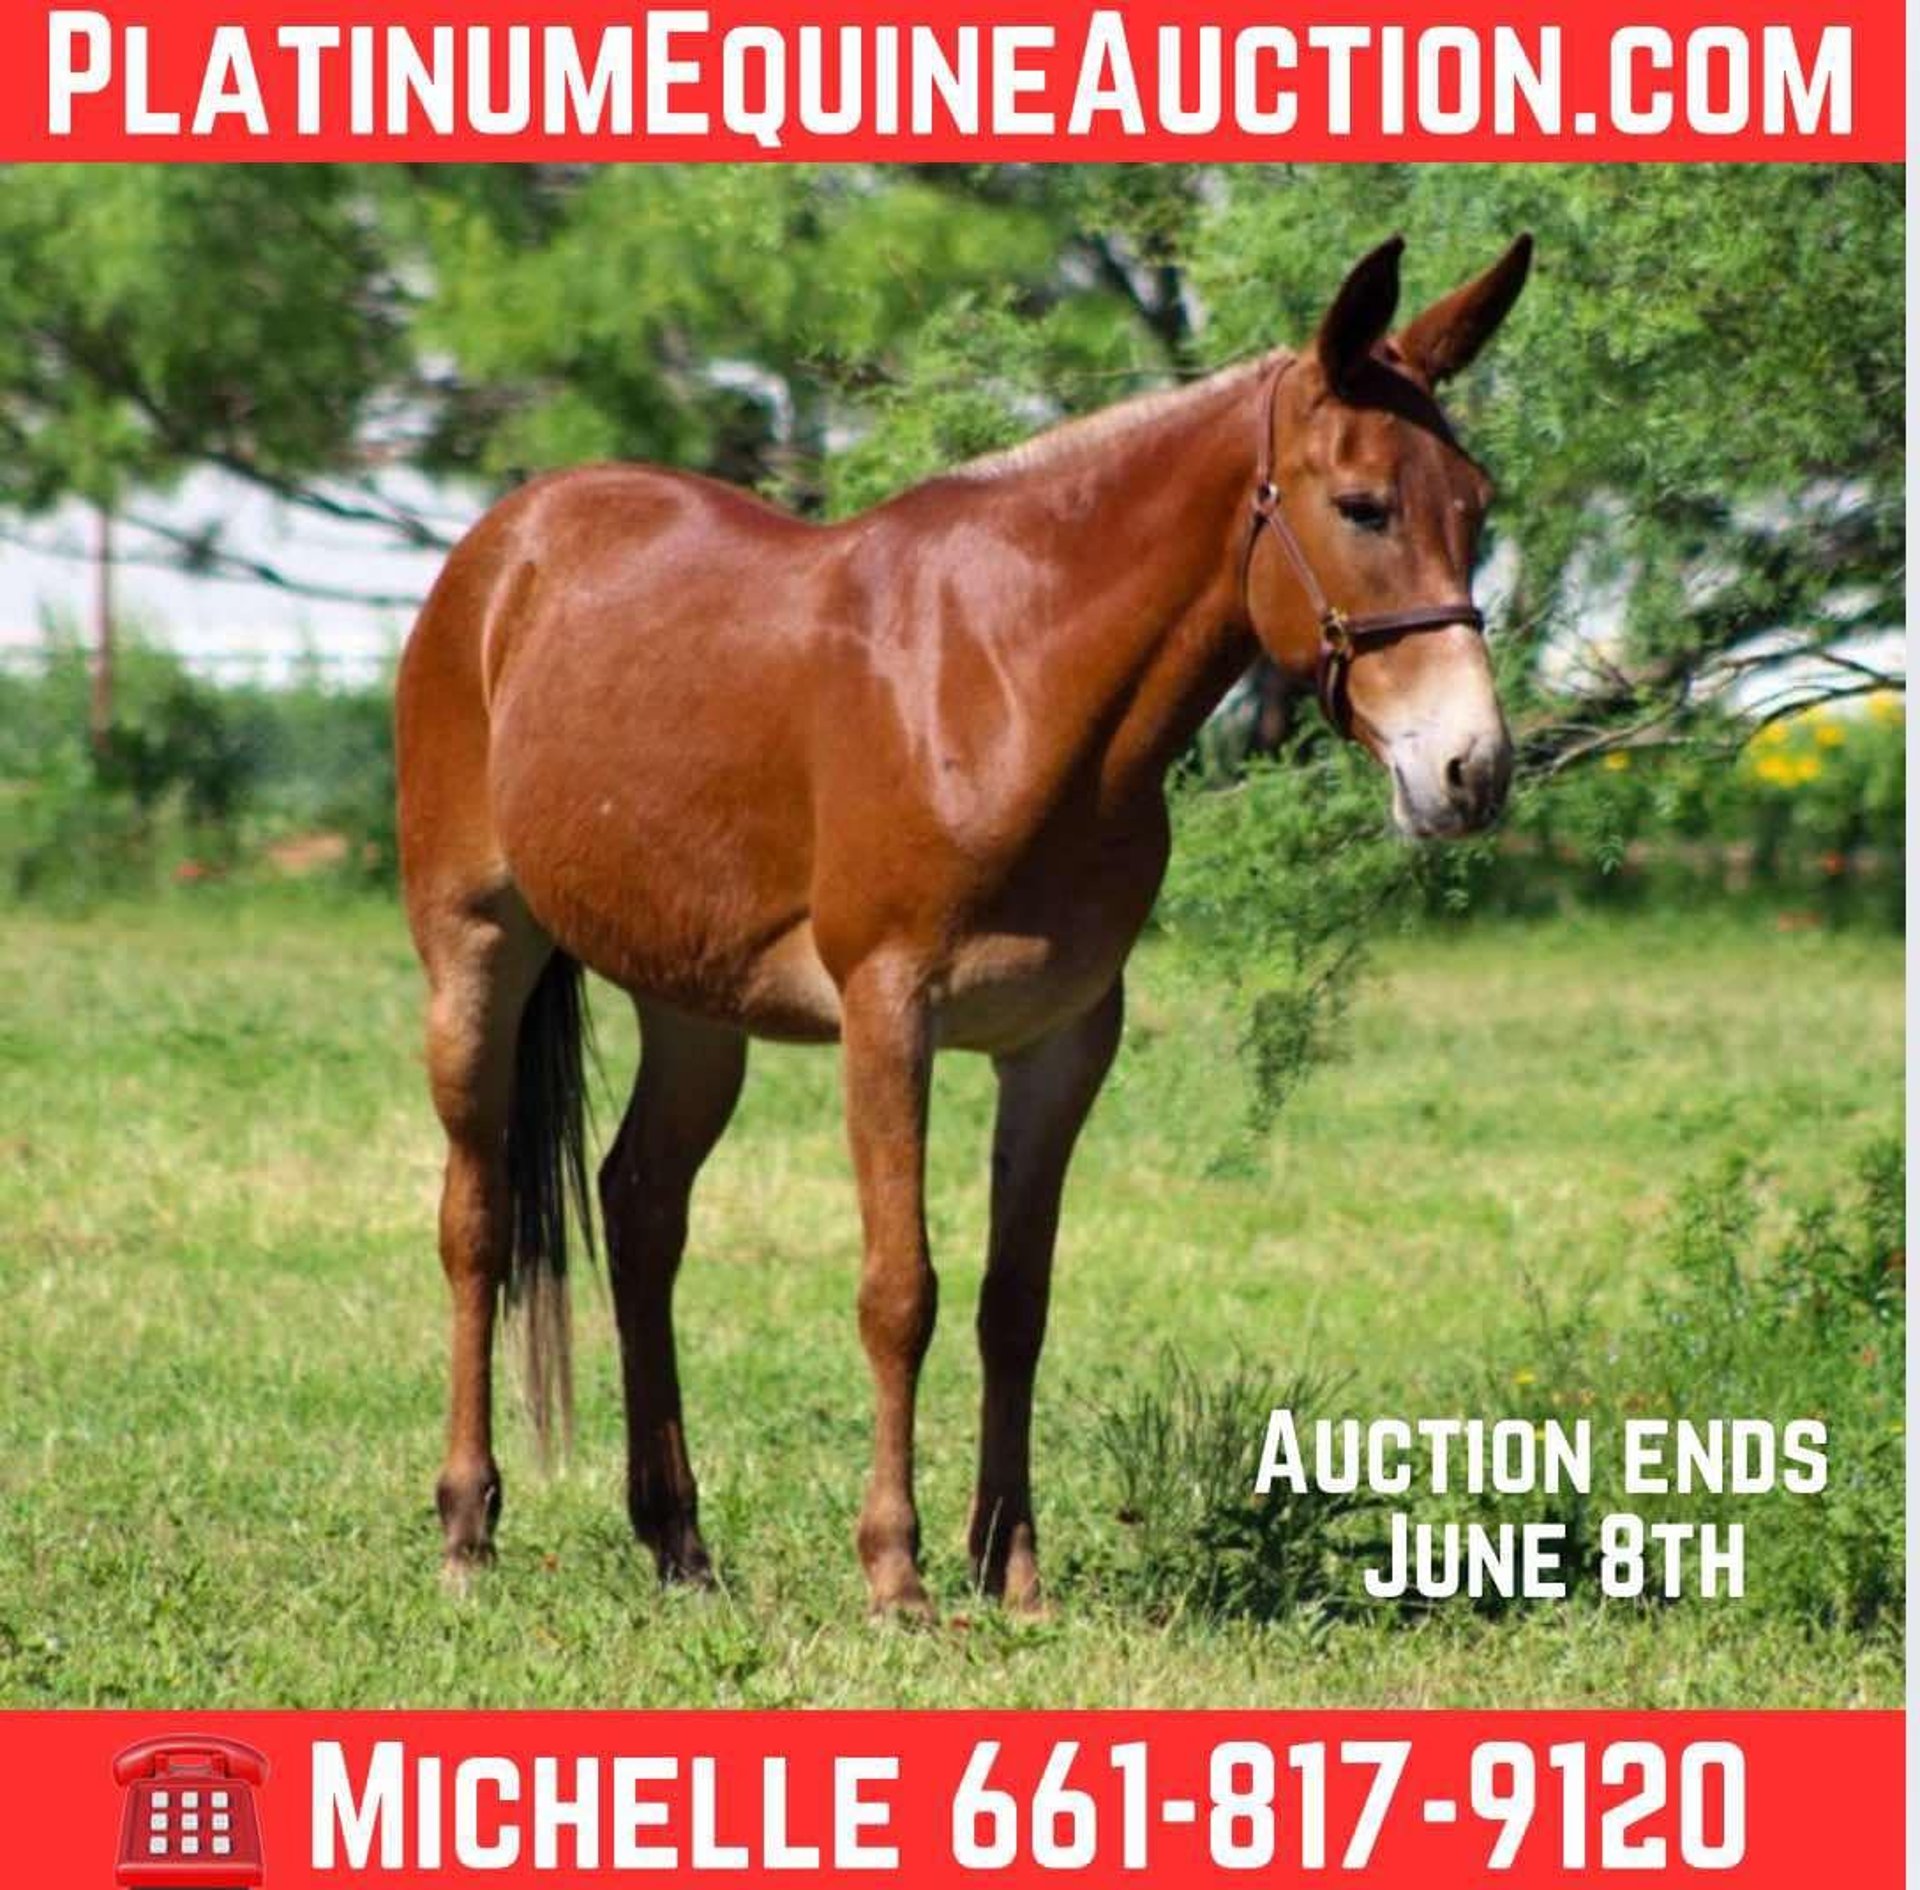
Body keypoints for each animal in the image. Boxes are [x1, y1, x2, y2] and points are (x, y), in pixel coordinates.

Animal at [395, 231, 1532, 1616]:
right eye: (1364, 505)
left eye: (1475, 506)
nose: (1470, 771)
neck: (1006, 682)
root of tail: (505, 547)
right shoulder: (893, 1017)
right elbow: (903, 1292)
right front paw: (898, 1576)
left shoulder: (1060, 1043)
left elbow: (1013, 1300)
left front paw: (1014, 1571)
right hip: (476, 954)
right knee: (479, 1221)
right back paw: (468, 1530)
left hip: (691, 1006)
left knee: (641, 1208)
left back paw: (679, 1544)